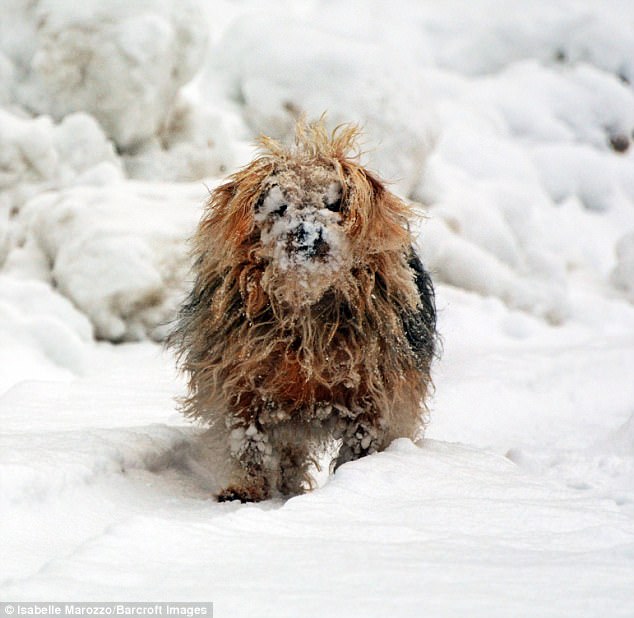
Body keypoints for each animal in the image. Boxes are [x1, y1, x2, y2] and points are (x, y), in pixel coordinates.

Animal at [167, 119, 434, 500]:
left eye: (334, 204)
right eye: (279, 207)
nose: (308, 233)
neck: (305, 302)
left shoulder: (377, 396)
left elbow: (362, 444)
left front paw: (352, 480)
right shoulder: (239, 384)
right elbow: (249, 443)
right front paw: (247, 487)